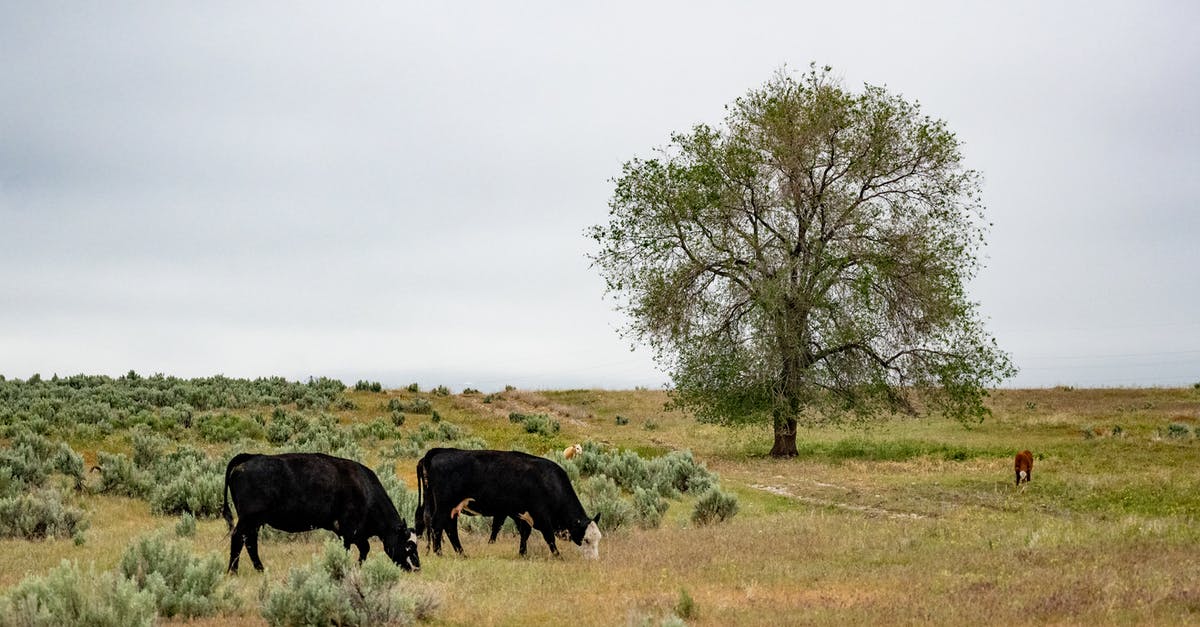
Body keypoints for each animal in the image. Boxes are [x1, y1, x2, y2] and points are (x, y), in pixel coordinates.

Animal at [222, 449, 422, 571]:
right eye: (409, 546)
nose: (417, 567)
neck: (365, 489)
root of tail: (250, 457)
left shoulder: (353, 533)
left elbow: (363, 549)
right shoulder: (350, 530)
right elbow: (355, 549)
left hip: (255, 522)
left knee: (250, 542)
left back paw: (260, 569)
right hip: (248, 519)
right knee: (238, 538)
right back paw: (233, 571)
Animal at [415, 444, 600, 557]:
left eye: (598, 539)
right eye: (586, 539)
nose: (593, 560)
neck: (548, 481)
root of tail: (440, 451)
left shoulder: (520, 513)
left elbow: (524, 533)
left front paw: (522, 553)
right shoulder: (541, 515)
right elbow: (549, 537)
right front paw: (558, 556)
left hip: (450, 506)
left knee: (448, 527)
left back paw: (462, 553)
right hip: (445, 505)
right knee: (438, 525)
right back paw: (439, 552)